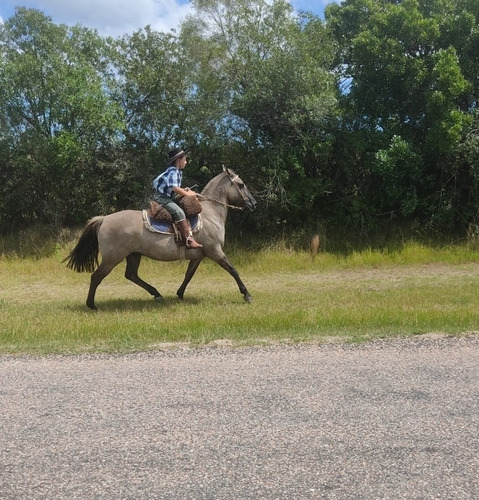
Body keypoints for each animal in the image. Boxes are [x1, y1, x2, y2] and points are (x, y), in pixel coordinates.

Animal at [66, 168, 258, 308]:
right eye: (241, 185)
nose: (253, 203)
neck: (210, 213)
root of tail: (104, 219)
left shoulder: (199, 255)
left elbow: (189, 274)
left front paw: (180, 294)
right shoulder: (215, 251)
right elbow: (233, 270)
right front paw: (247, 295)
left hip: (133, 255)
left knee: (131, 275)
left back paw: (157, 294)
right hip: (112, 258)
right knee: (96, 277)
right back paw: (91, 305)